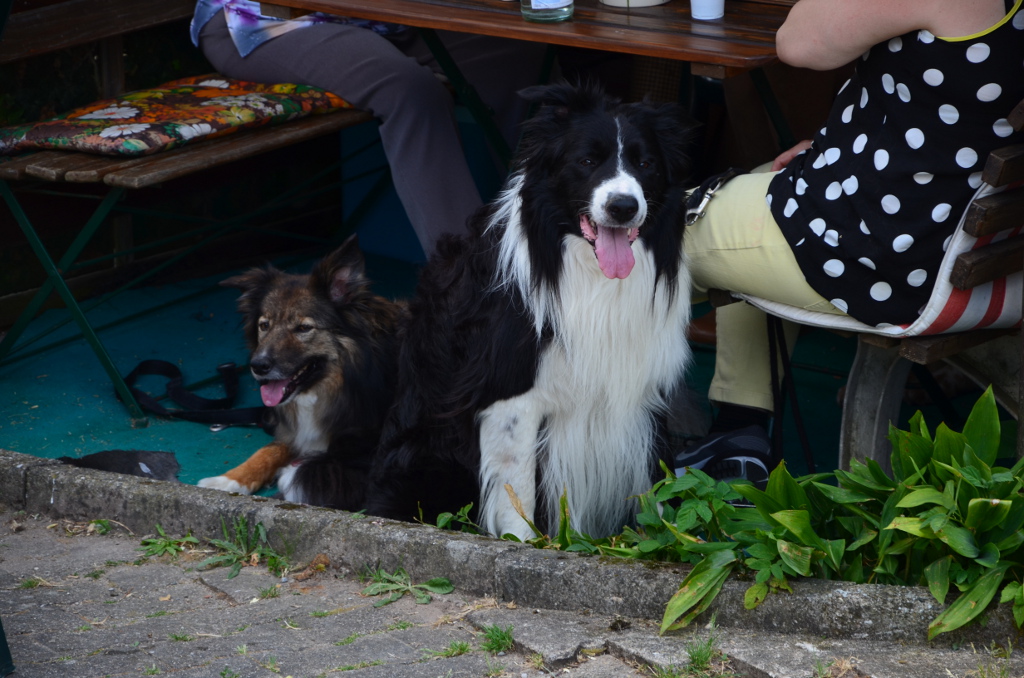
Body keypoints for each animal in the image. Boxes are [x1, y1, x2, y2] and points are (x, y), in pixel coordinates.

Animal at [197, 236, 405, 510]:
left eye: (304, 328)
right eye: (264, 325)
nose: (257, 366)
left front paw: (289, 475)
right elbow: (268, 450)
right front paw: (228, 480)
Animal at [365, 83, 698, 540]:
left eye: (645, 163)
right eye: (587, 160)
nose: (623, 206)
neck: (587, 272)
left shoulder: (641, 394)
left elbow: (652, 486)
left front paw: (666, 542)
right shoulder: (511, 400)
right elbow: (516, 497)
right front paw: (524, 547)